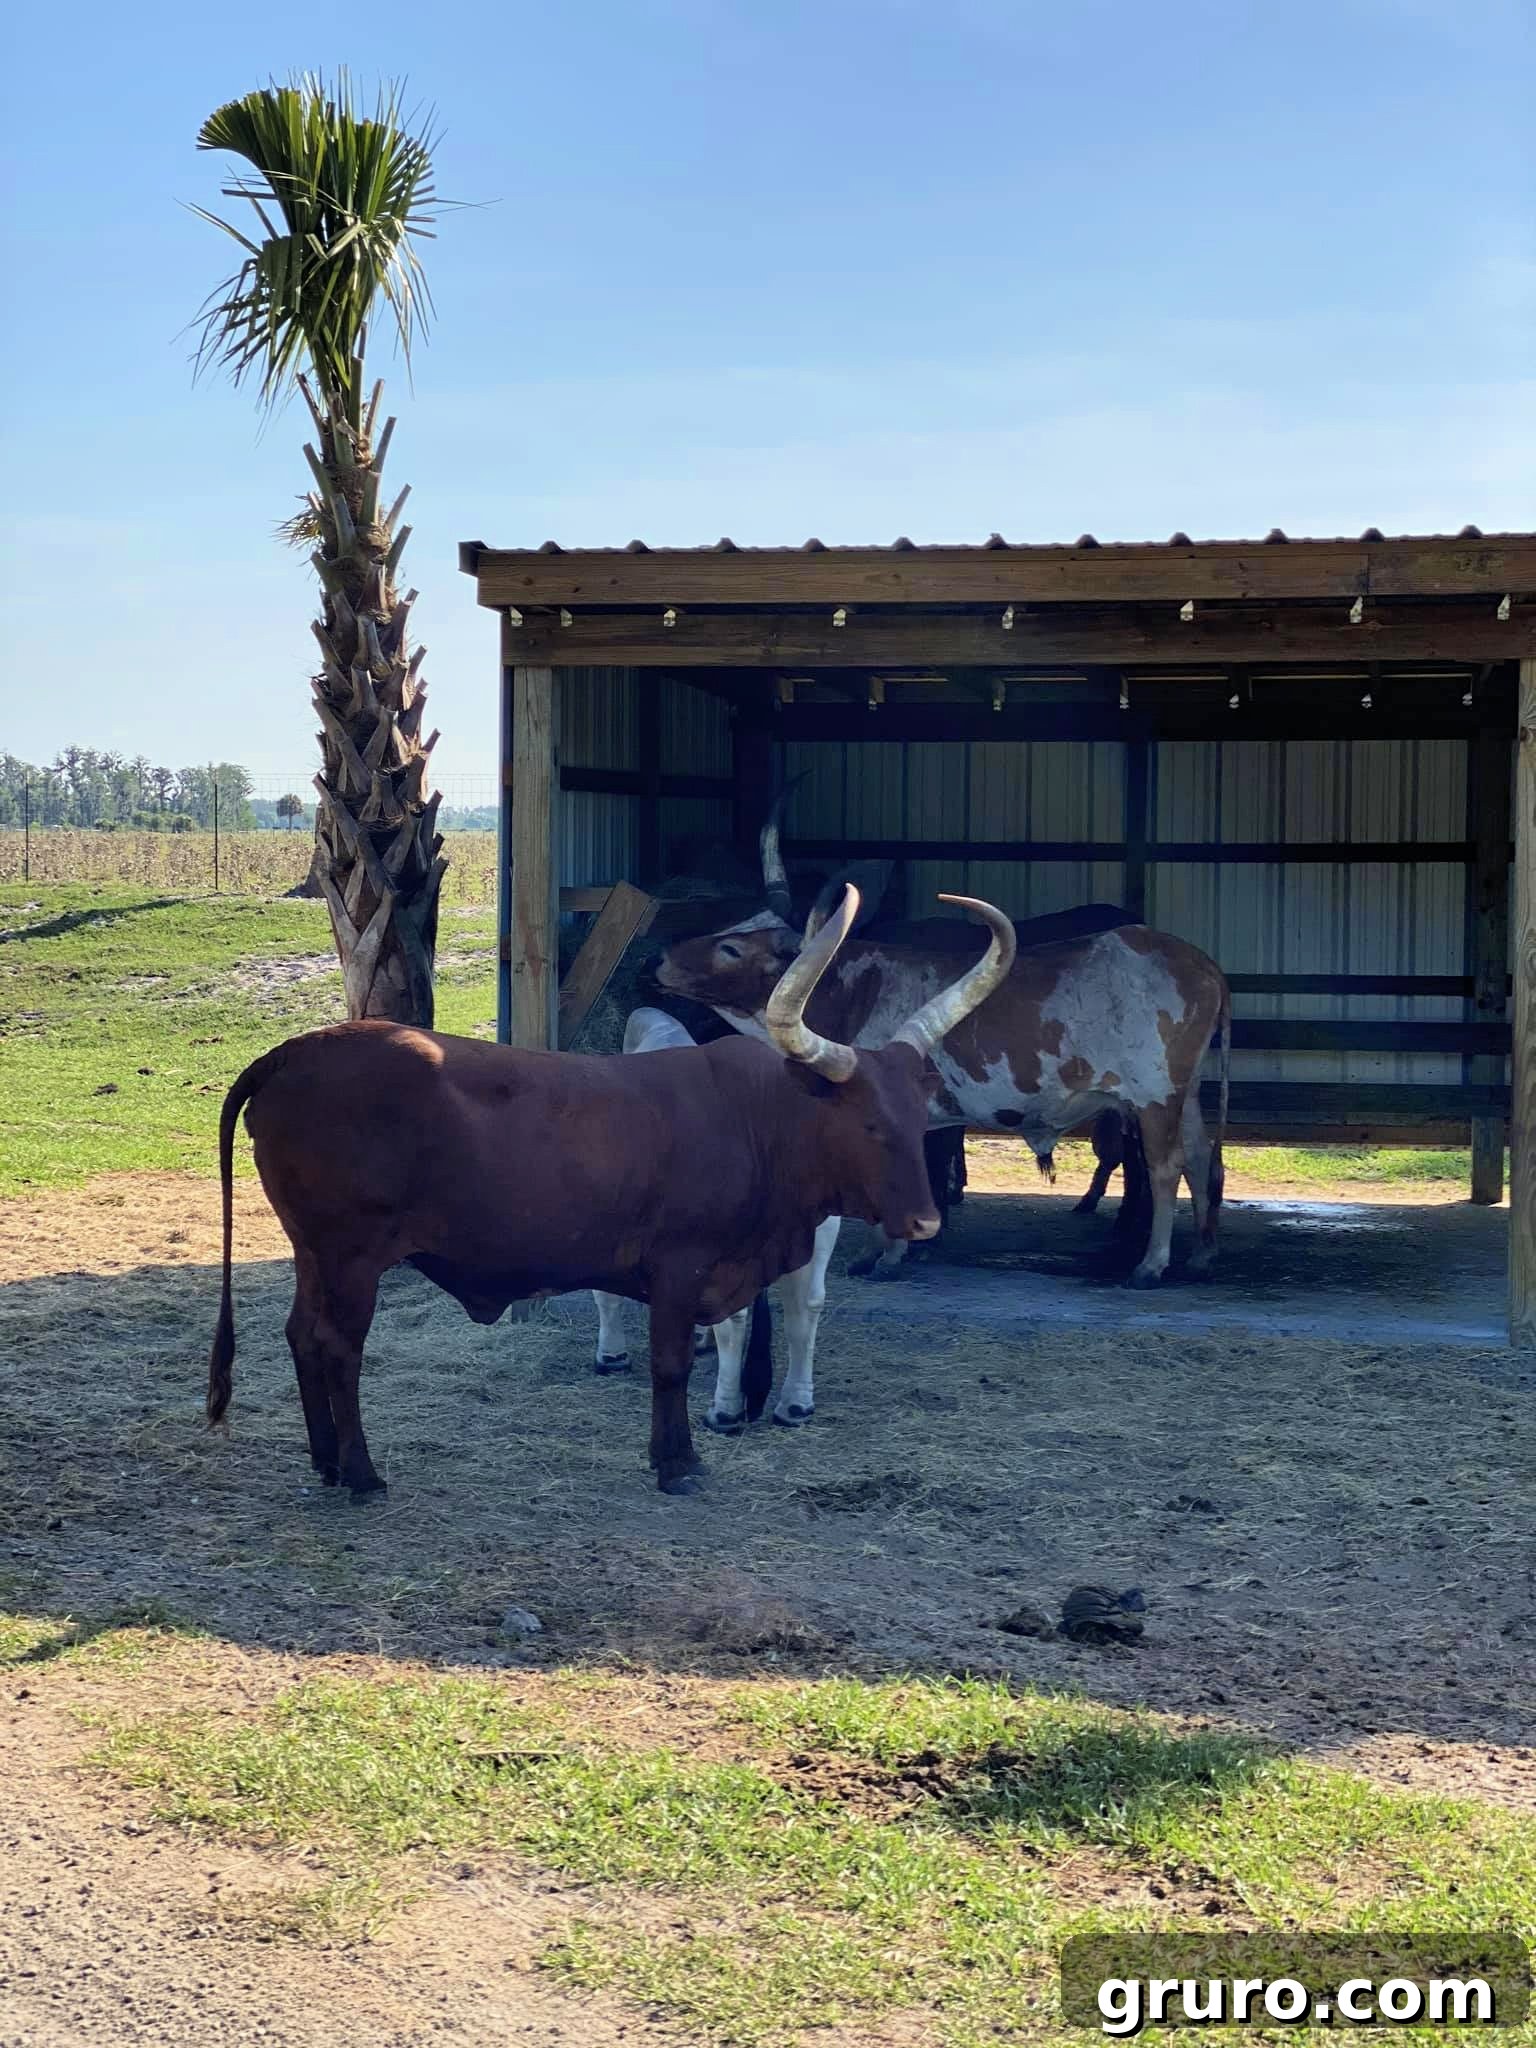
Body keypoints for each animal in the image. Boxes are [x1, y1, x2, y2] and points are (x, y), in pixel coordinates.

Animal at [588, 1007, 843, 1429]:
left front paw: (611, 1356)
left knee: (738, 1315)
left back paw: (725, 1411)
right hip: (821, 1226)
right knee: (807, 1303)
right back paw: (795, 1405)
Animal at [656, 823, 1230, 1289]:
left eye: (731, 949)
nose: (658, 960)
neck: (851, 987)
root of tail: (1201, 964)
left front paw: (889, 1258)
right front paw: (878, 1253)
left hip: (1157, 1095)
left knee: (1165, 1167)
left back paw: (1151, 1265)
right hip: (1187, 1092)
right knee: (1202, 1156)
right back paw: (1202, 1255)